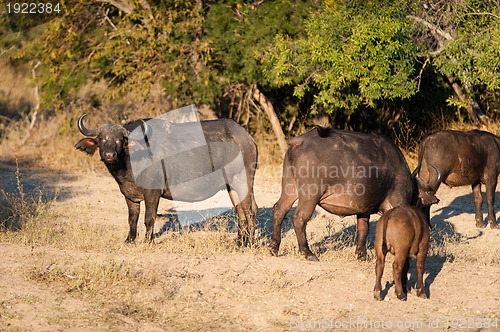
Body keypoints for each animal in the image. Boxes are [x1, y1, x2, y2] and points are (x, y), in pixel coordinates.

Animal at [77, 113, 262, 245]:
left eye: (120, 140)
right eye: (101, 139)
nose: (109, 155)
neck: (130, 161)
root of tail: (247, 138)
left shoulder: (152, 192)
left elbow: (149, 217)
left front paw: (148, 241)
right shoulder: (129, 194)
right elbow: (132, 218)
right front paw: (129, 240)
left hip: (242, 180)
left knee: (251, 209)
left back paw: (249, 243)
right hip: (231, 186)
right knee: (240, 211)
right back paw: (239, 242)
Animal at [270, 126, 438, 260]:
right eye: (423, 203)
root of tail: (302, 140)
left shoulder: (363, 210)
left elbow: (363, 229)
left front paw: (361, 254)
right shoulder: (398, 203)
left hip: (290, 188)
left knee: (279, 209)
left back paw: (274, 247)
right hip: (310, 194)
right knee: (299, 217)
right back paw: (308, 252)